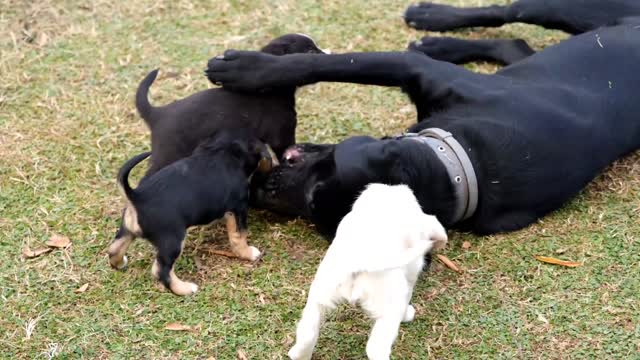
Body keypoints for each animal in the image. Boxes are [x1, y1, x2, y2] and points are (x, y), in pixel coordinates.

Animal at [105, 130, 276, 296]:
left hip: (127, 231)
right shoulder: (238, 209)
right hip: (173, 241)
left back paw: (120, 264)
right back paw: (185, 289)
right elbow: (239, 236)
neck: (224, 152)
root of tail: (136, 197)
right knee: (161, 270)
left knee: (114, 249)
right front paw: (248, 253)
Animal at [206, 23, 640, 239]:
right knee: (516, 42)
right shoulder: (414, 70)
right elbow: (329, 63)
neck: (462, 164)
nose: (260, 191)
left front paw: (245, 68)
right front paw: (247, 67)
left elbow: (326, 64)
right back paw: (438, 39)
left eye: (312, 206)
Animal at [288, 184, 448, 358]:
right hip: (389, 310)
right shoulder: (410, 276)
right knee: (375, 348)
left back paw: (298, 354)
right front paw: (408, 314)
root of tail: (359, 260)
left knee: (307, 336)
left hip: (317, 299)